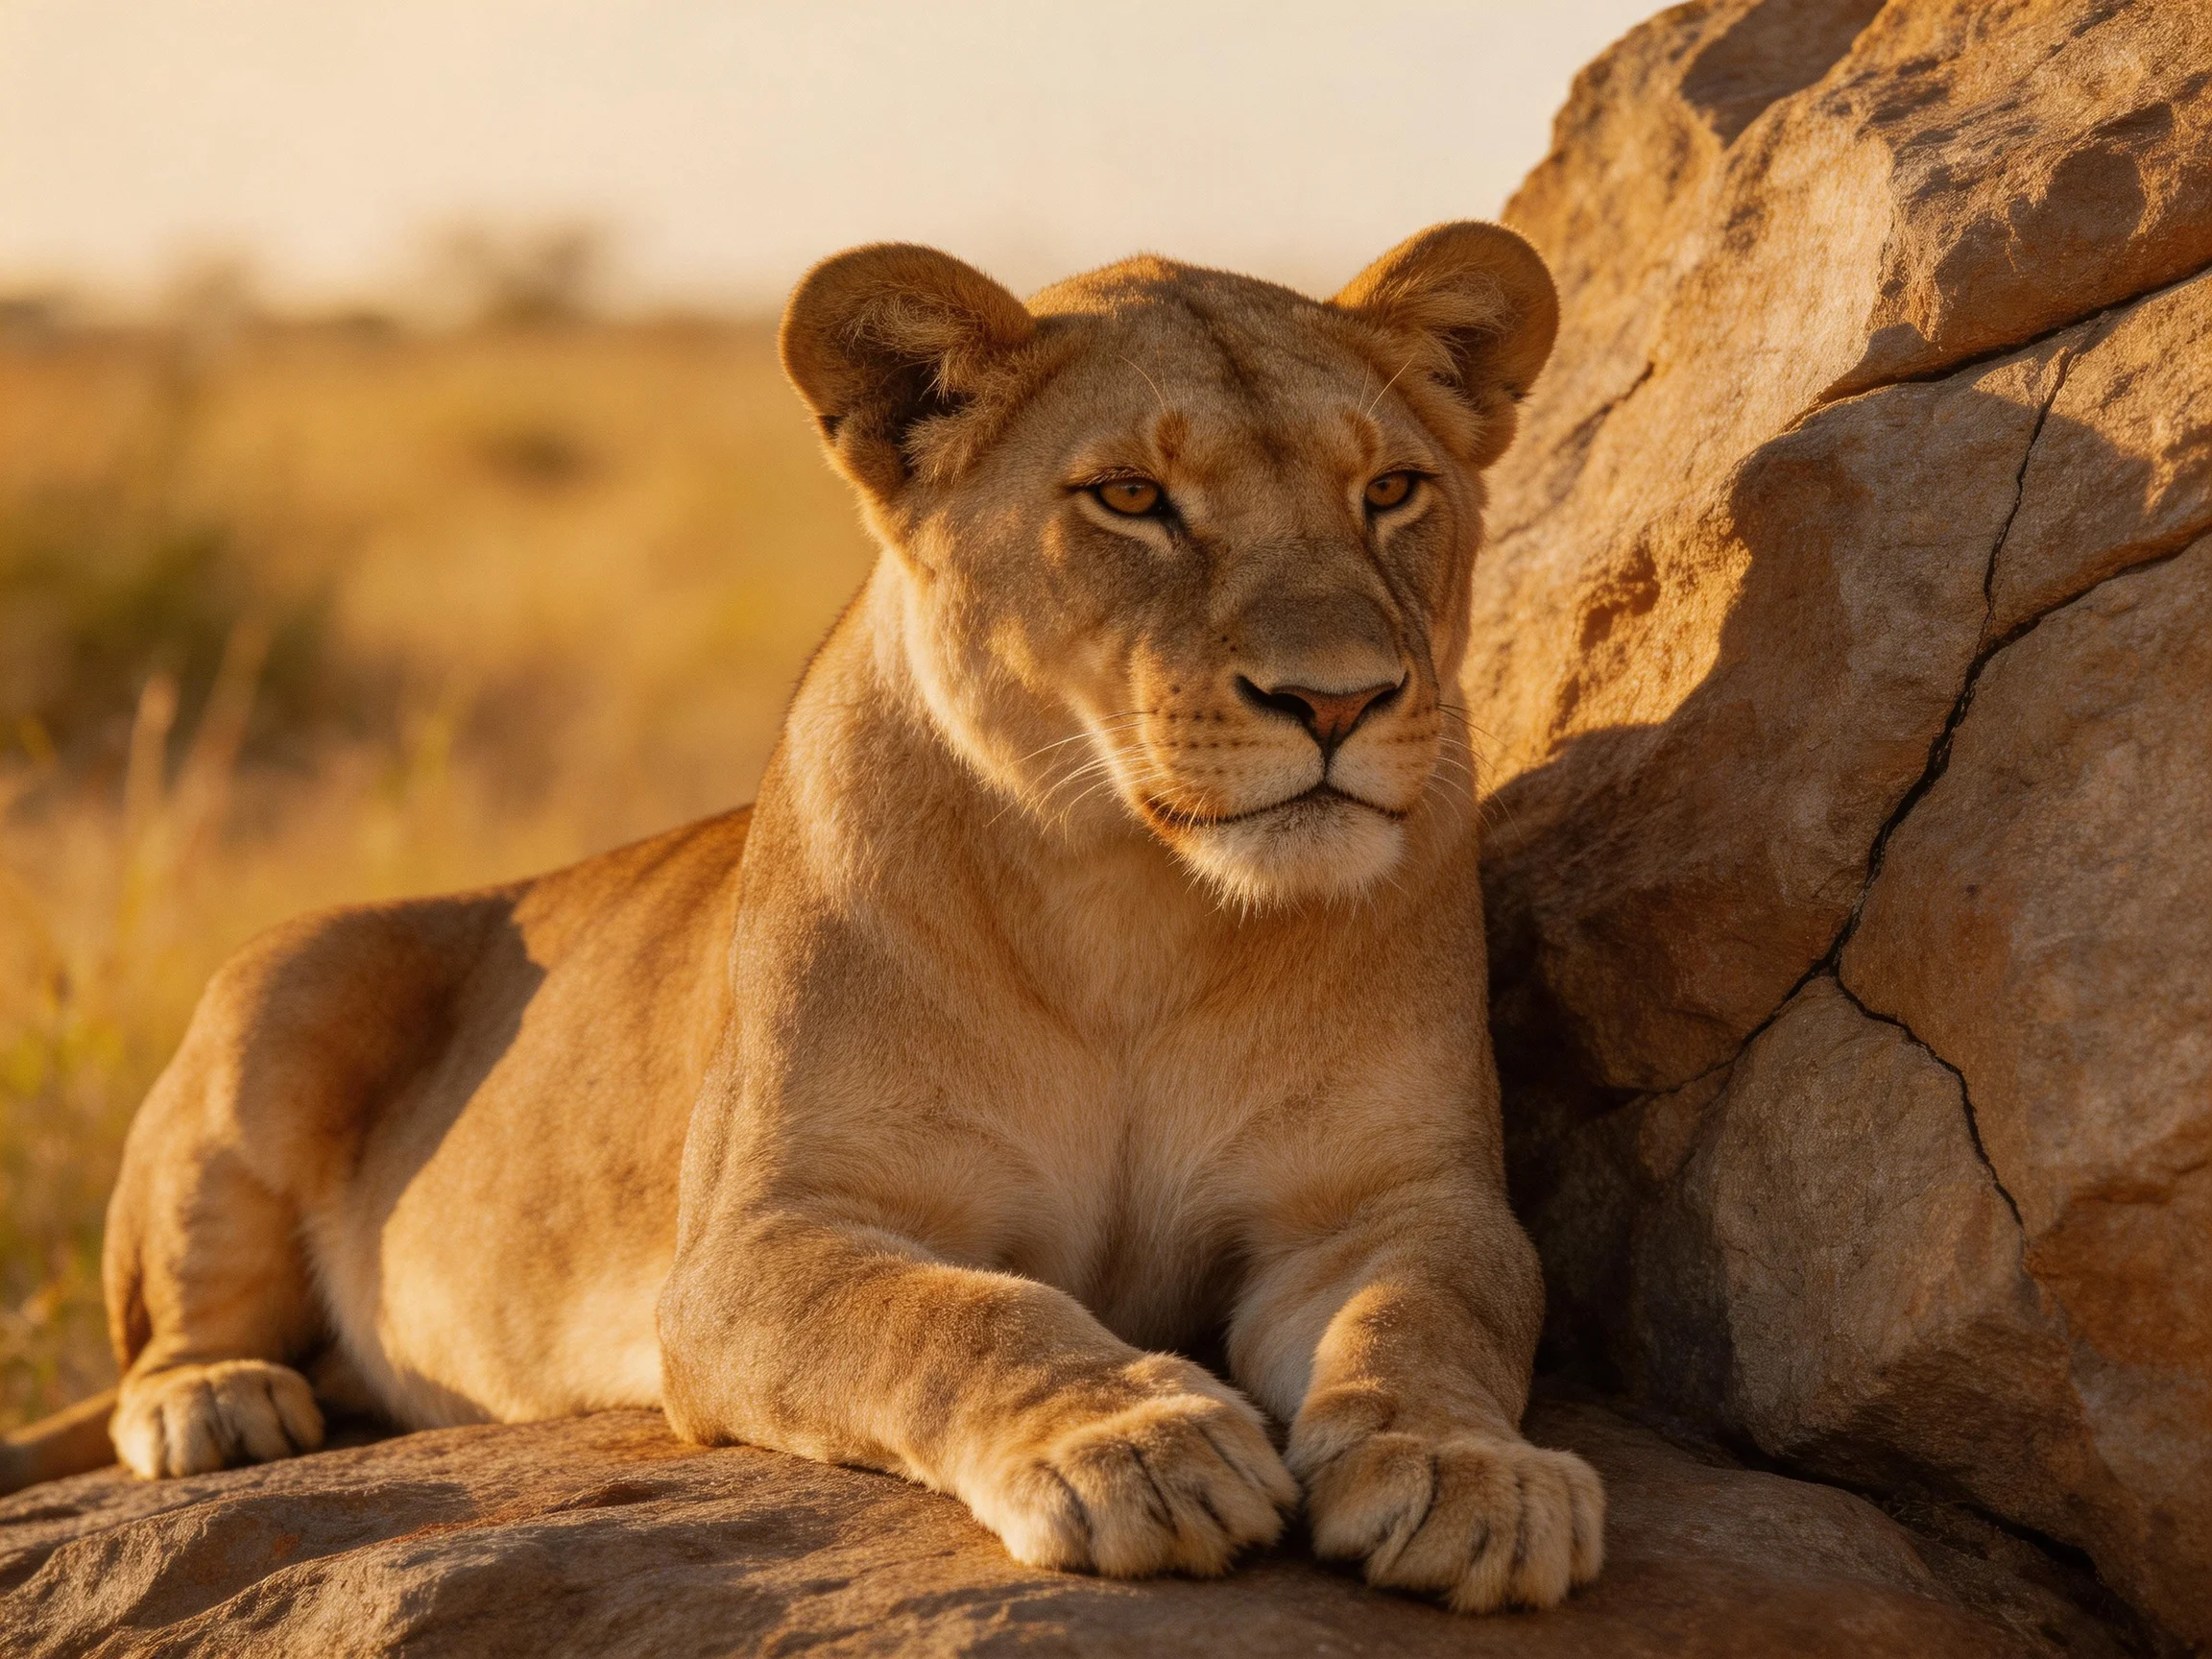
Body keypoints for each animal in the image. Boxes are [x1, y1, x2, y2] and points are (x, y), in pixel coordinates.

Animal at [0, 222, 1602, 1614]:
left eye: (1390, 491)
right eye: (1133, 501)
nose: (1337, 701)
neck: (1135, 903)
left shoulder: (1392, 1203)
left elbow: (1430, 1317)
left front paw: (1476, 1477)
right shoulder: (750, 1249)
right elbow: (963, 1312)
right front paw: (1138, 1442)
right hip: (283, 981)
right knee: (163, 1335)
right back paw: (221, 1402)